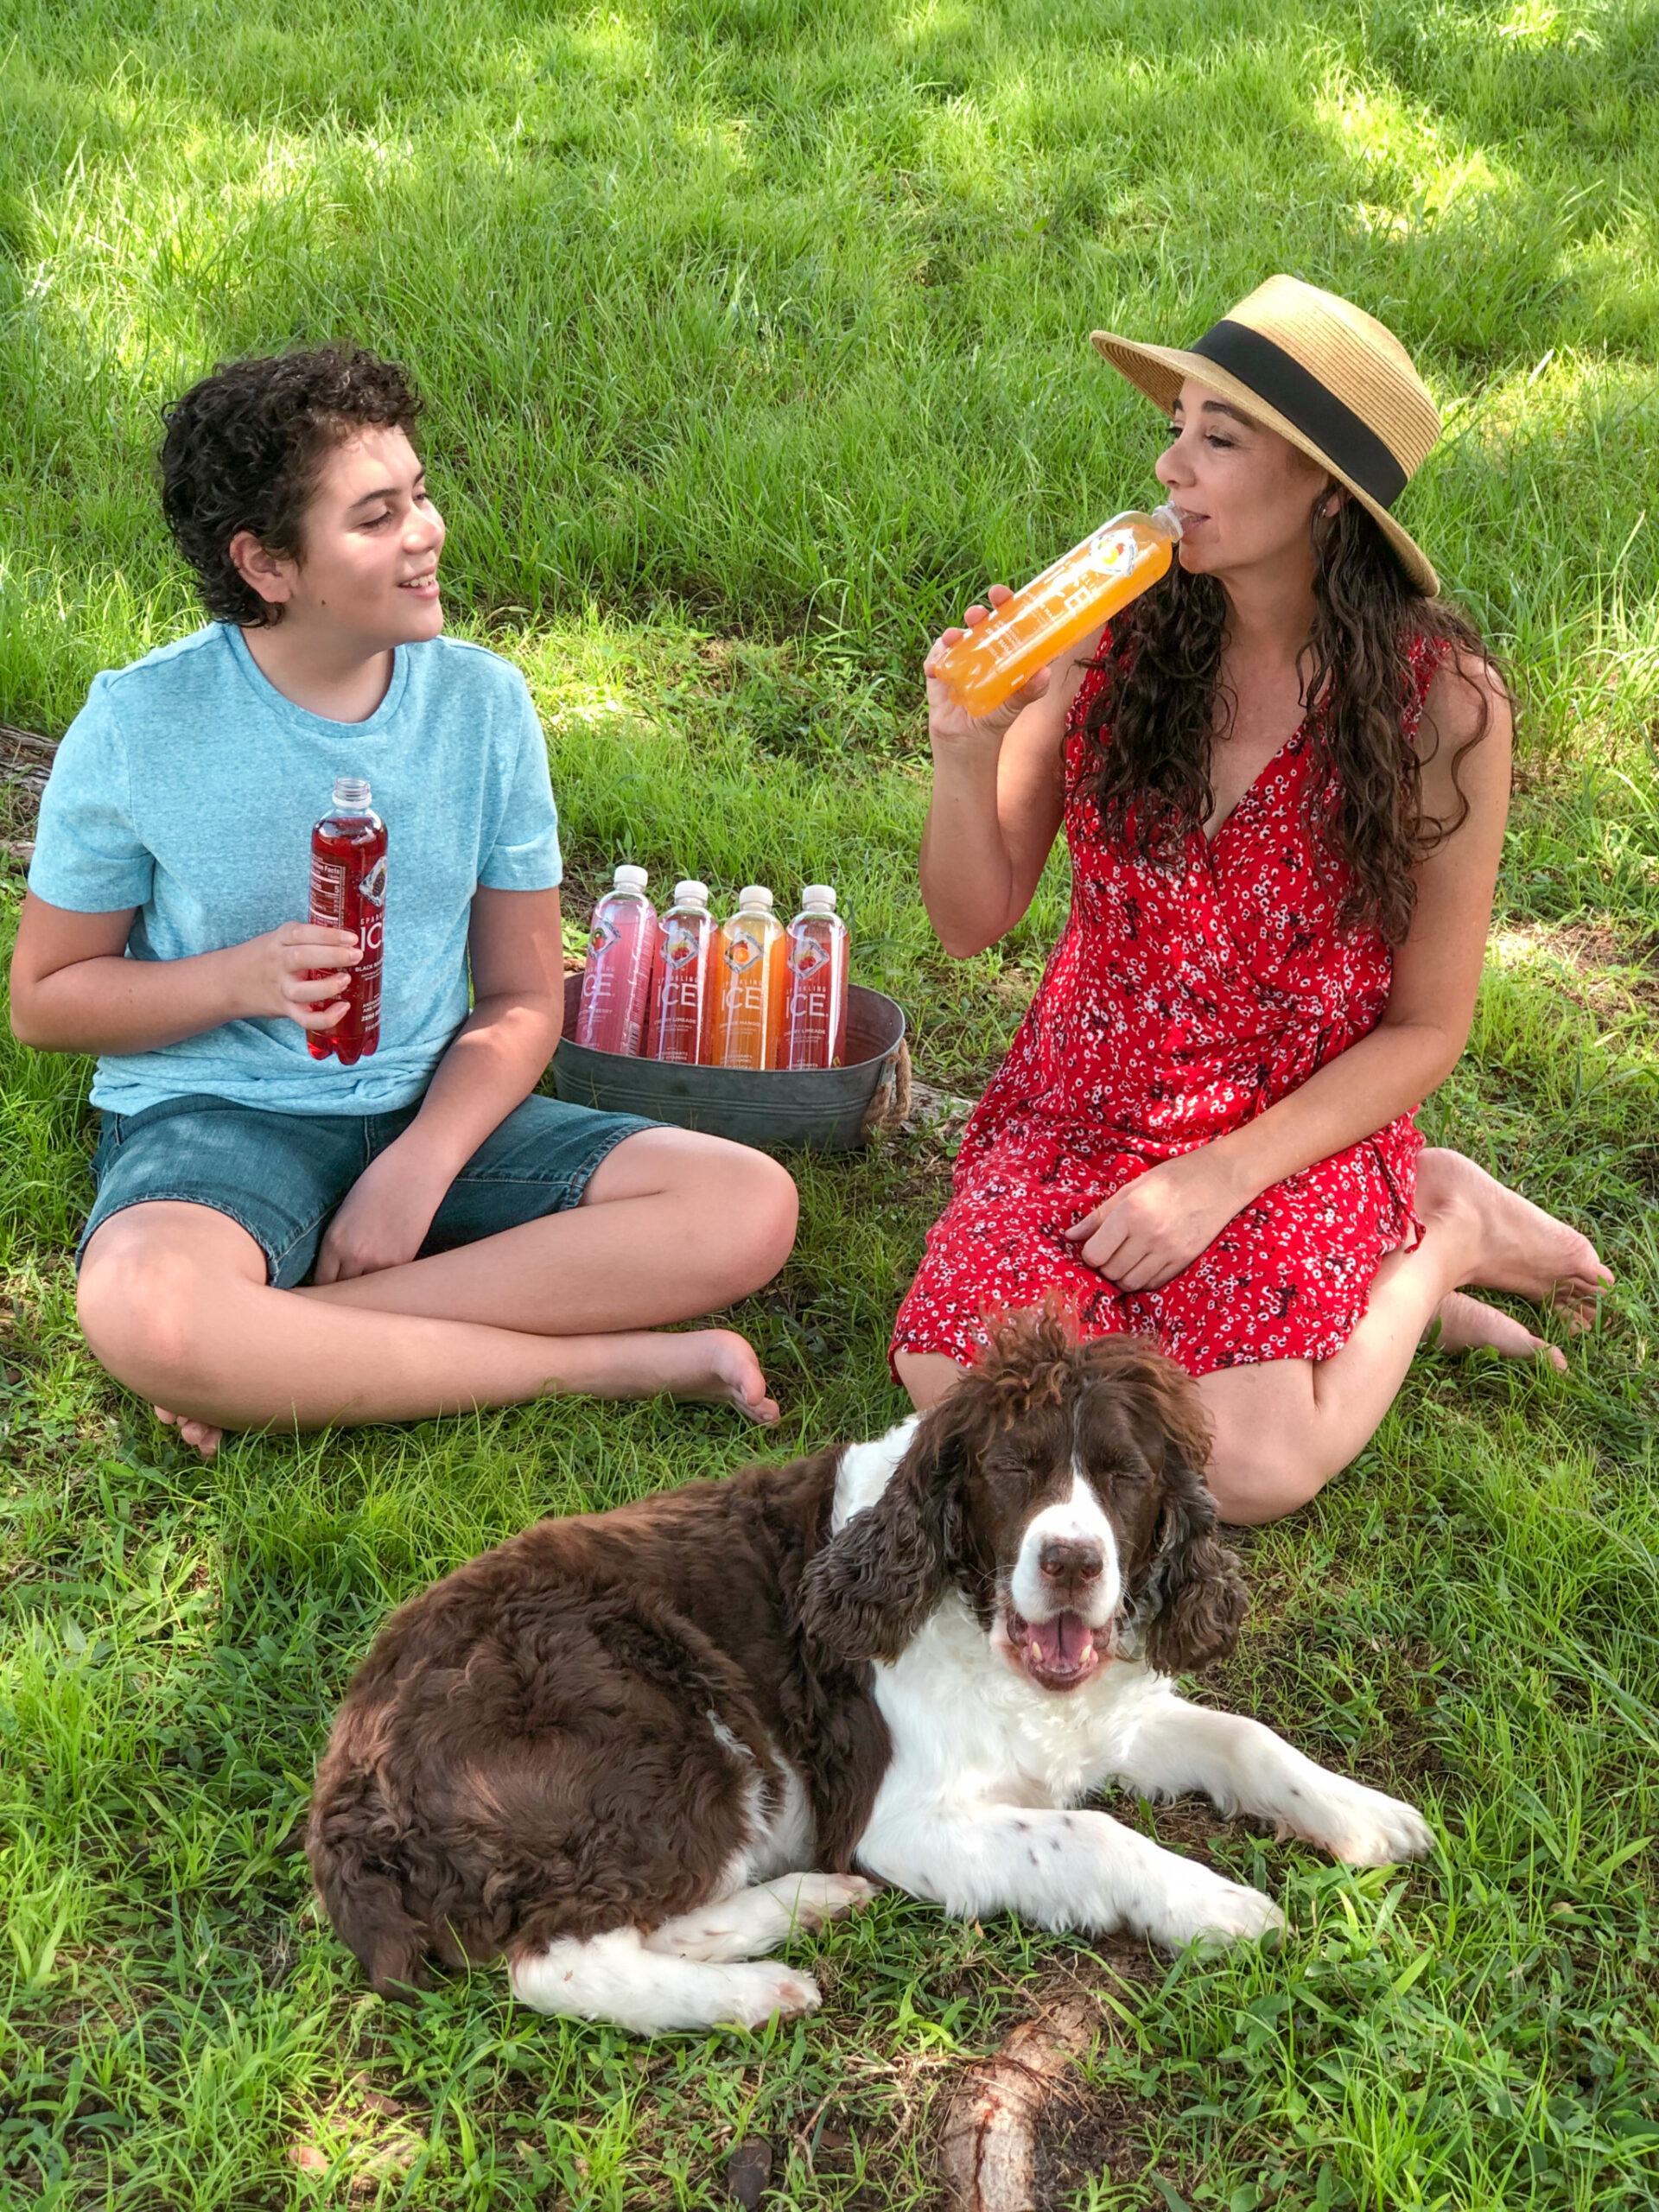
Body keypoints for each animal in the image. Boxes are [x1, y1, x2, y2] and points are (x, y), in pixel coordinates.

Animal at [309, 1318, 1433, 2025]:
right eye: (1010, 1470)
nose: (1072, 1563)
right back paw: (752, 1991)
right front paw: (1217, 1906)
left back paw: (799, 1904)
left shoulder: (1105, 1719)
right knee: (558, 1959)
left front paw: (1365, 1814)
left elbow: (1245, 1737)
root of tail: (349, 1782)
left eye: (1125, 1476)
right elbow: (1093, 1833)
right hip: (675, 1739)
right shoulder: (903, 1821)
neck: (977, 1623)